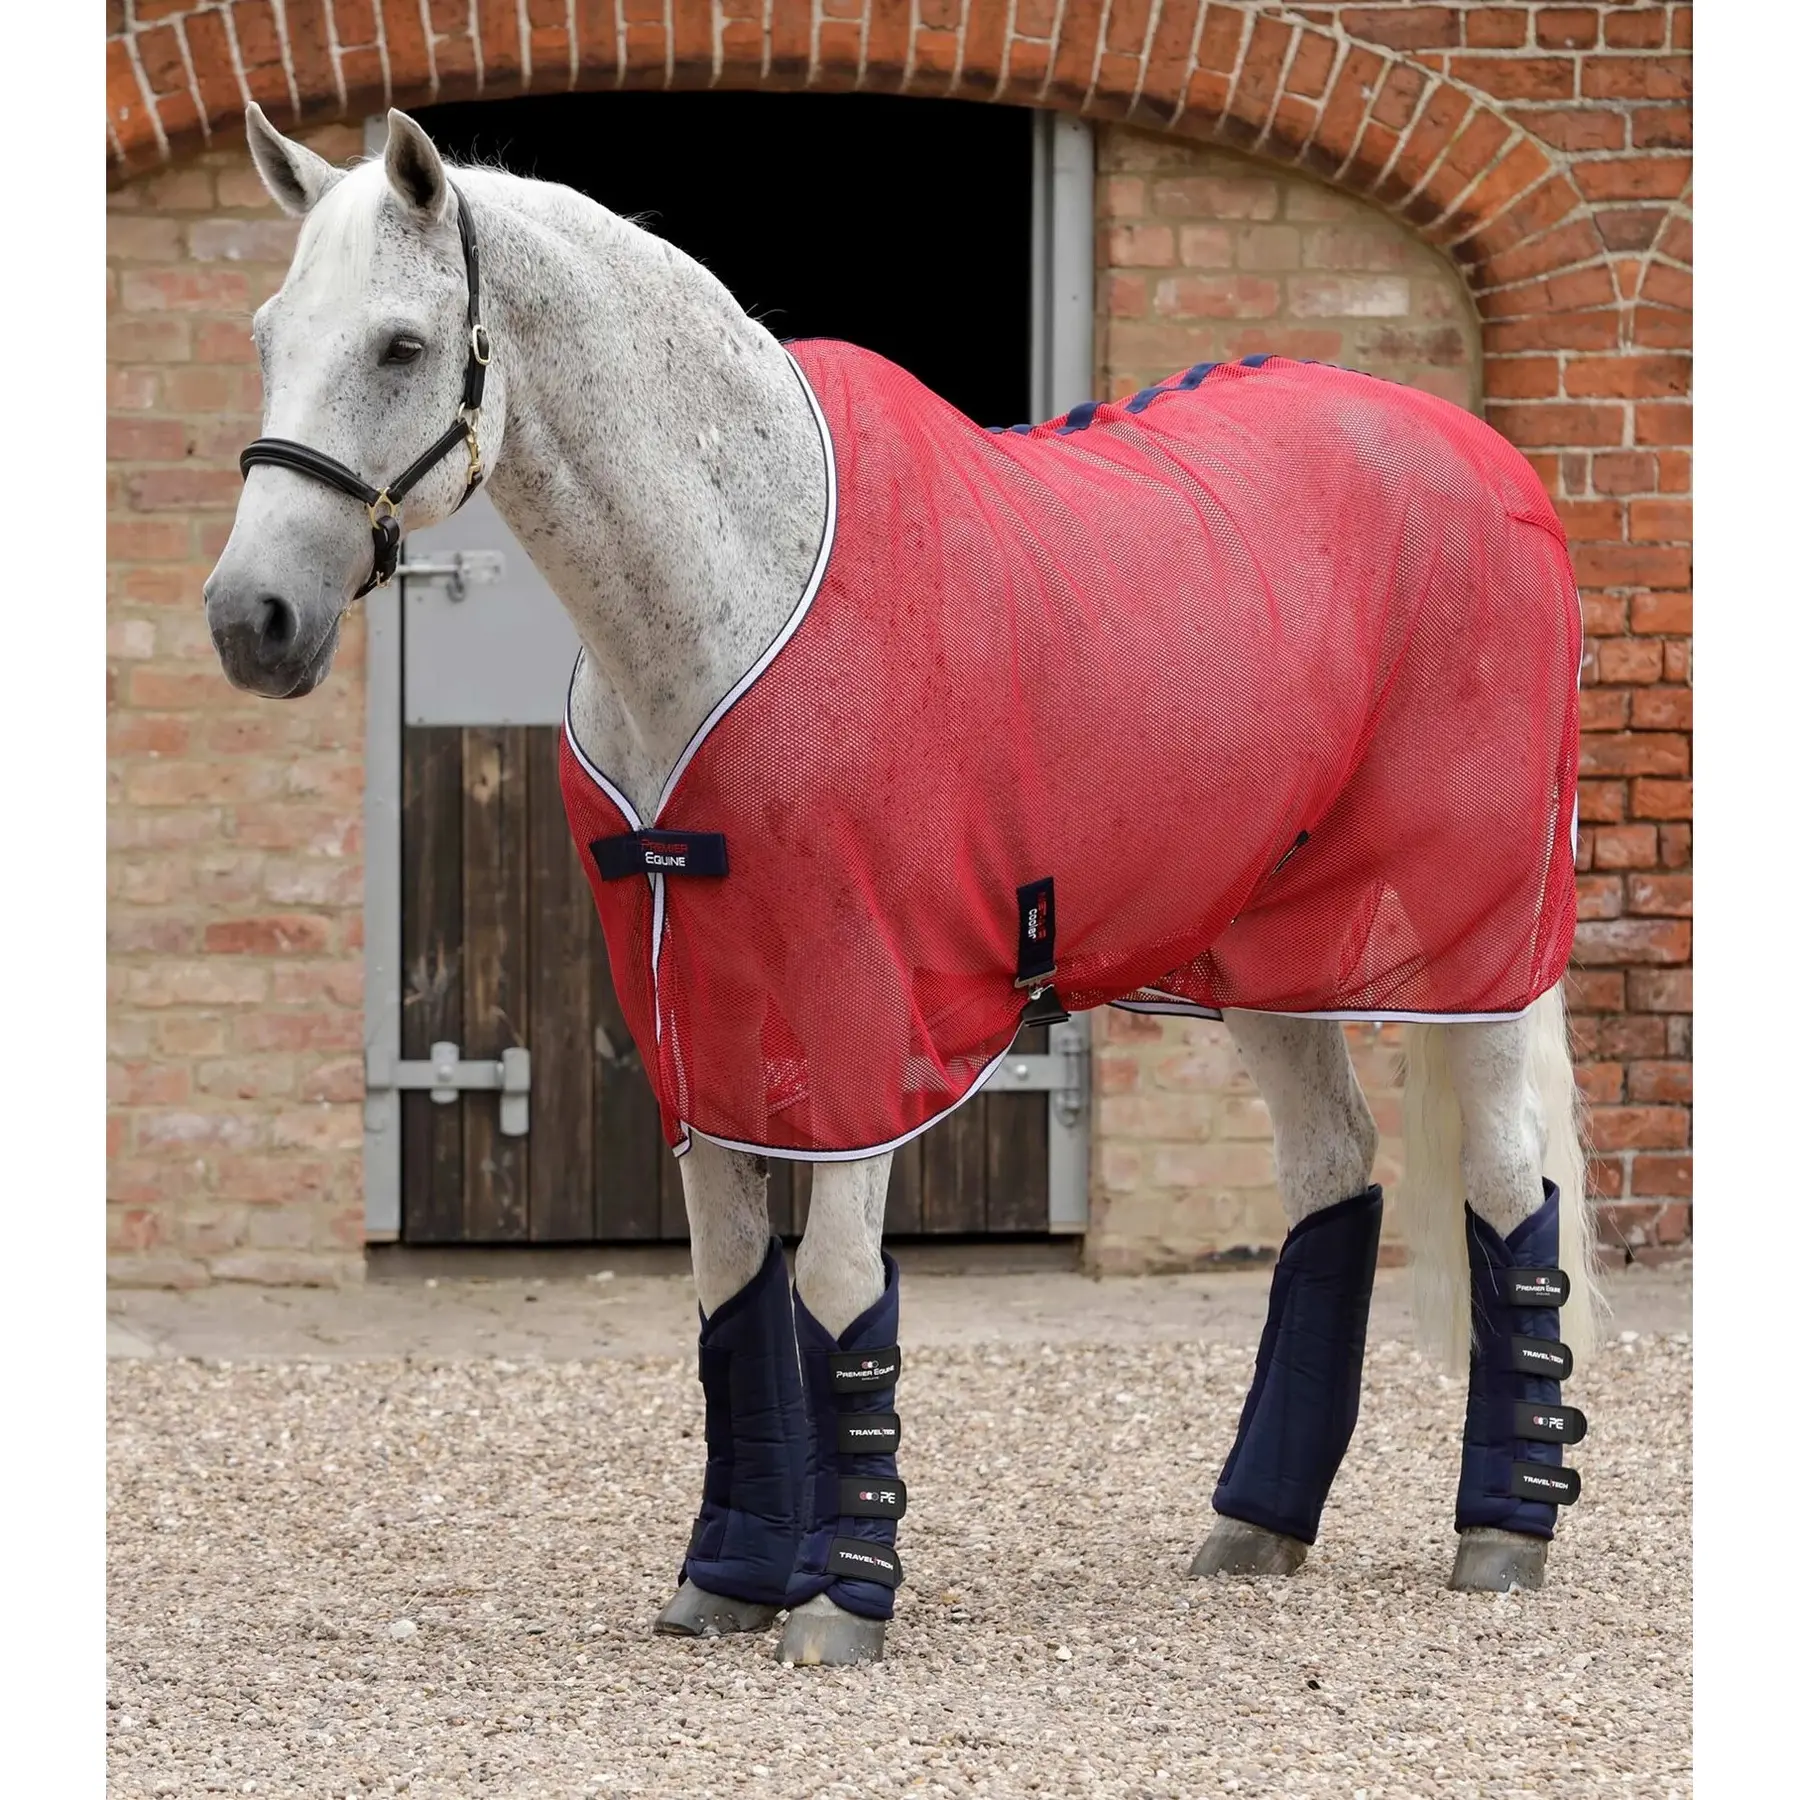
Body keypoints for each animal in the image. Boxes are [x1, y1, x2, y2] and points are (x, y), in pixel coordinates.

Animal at [204, 105, 1599, 1668]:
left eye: (398, 345)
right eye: (267, 333)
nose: (250, 619)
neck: (734, 583)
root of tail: (1485, 459)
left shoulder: (862, 1014)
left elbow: (832, 1287)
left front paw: (840, 1600)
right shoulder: (694, 1010)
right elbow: (729, 1285)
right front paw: (728, 1578)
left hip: (1474, 942)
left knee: (1506, 1181)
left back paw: (1504, 1531)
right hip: (1263, 947)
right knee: (1331, 1176)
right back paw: (1255, 1526)